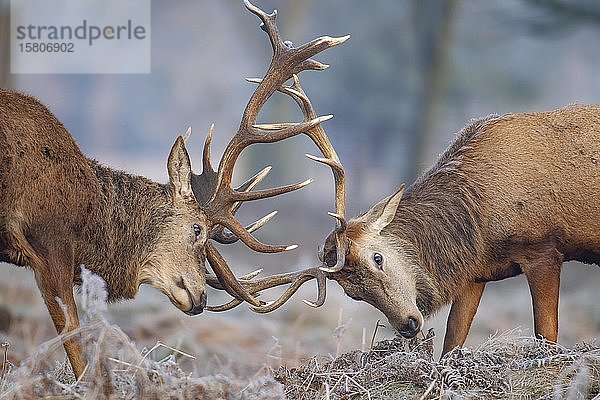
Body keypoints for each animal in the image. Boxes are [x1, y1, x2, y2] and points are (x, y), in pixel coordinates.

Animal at [322, 104, 600, 354]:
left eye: (377, 258)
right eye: (353, 294)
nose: (408, 325)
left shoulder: (543, 249)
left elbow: (547, 335)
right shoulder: (475, 274)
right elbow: (452, 340)